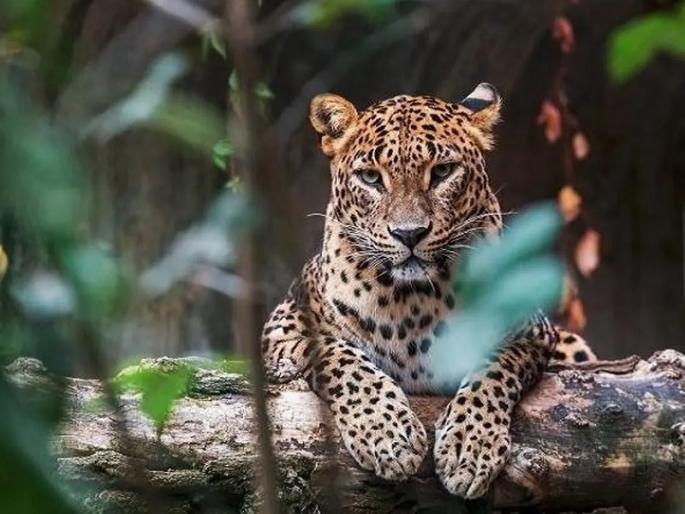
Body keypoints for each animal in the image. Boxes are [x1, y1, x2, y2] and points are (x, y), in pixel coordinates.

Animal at [261, 83, 595, 499]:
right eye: (371, 178)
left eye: (442, 172)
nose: (409, 234)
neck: (412, 300)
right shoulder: (284, 324)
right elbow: (341, 358)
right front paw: (388, 435)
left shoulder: (531, 331)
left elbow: (493, 370)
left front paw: (469, 448)